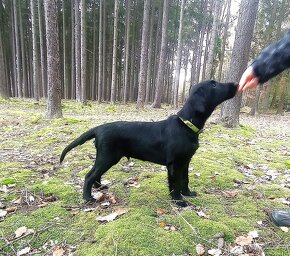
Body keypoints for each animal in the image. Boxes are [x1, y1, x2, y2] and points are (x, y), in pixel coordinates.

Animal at [60, 81, 237, 207]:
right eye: (214, 84)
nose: (235, 84)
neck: (186, 124)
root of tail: (98, 128)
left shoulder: (186, 160)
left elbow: (185, 179)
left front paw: (188, 193)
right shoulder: (174, 163)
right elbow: (175, 184)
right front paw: (179, 201)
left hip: (106, 158)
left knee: (96, 174)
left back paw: (100, 188)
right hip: (108, 157)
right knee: (89, 175)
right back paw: (87, 197)